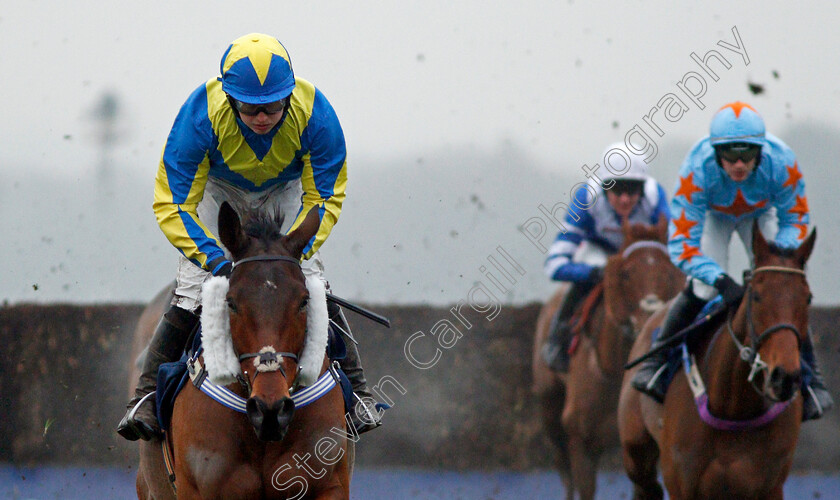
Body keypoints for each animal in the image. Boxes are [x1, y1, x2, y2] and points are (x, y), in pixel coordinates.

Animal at [536, 218, 684, 500]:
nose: (650, 316)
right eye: (626, 274)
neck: (613, 366)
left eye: (671, 270)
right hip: (549, 406)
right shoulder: (580, 441)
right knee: (563, 469)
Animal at [620, 228, 816, 500]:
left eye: (807, 298)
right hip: (636, 452)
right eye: (756, 296)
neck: (733, 407)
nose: (784, 378)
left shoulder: (770, 485)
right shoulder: (681, 483)